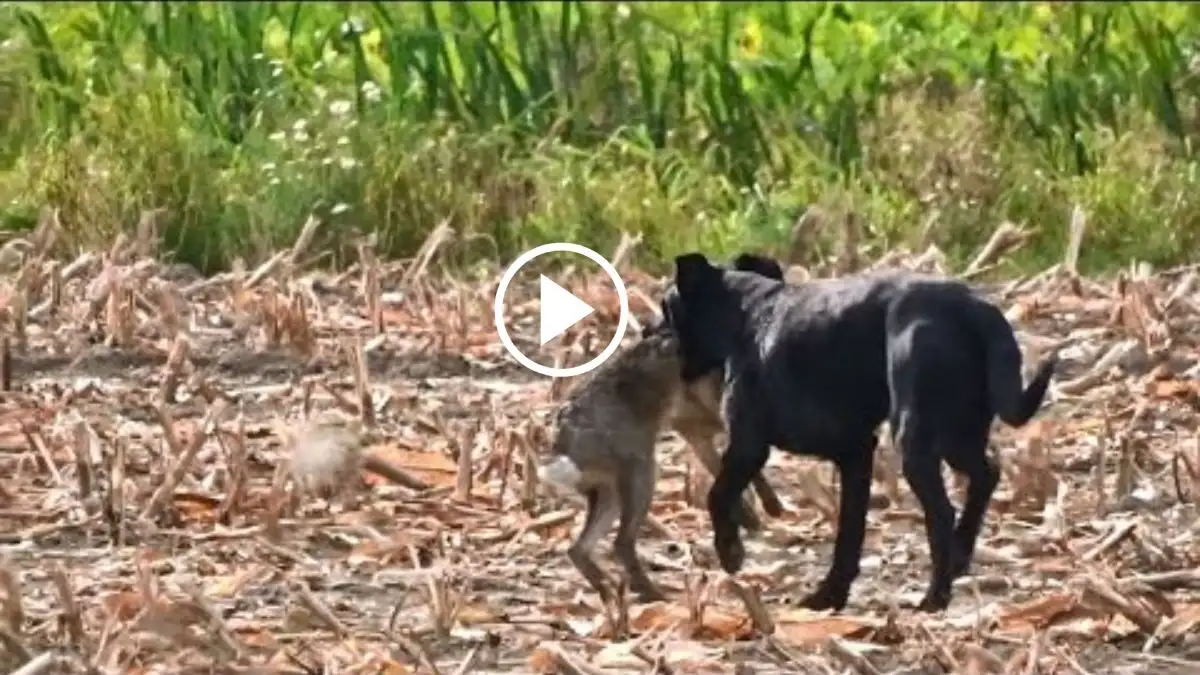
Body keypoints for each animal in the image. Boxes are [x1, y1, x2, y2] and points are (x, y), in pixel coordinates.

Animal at [662, 251, 1056, 610]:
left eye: (666, 307)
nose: (650, 332)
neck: (749, 314)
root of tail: (976, 310)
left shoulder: (748, 445)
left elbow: (716, 496)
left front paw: (730, 551)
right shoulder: (855, 454)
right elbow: (850, 531)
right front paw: (830, 595)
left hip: (916, 440)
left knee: (943, 512)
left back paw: (934, 598)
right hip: (959, 434)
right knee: (988, 473)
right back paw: (959, 556)